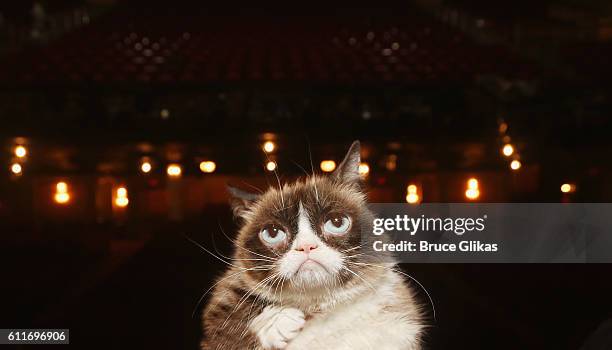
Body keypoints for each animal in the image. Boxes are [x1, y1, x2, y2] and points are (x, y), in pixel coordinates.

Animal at [203, 141, 424, 348]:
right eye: (273, 233)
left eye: (337, 222)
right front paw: (279, 321)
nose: (306, 246)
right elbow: (228, 319)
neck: (323, 309)